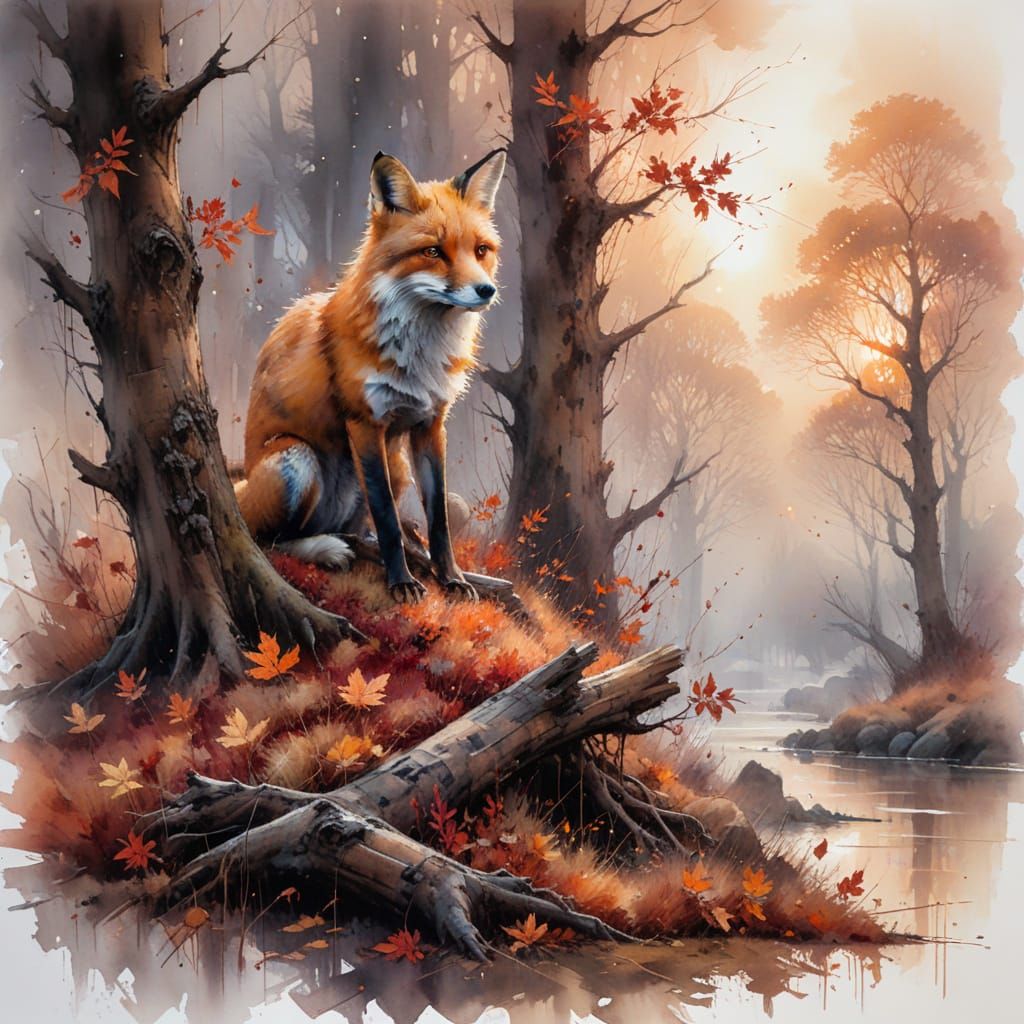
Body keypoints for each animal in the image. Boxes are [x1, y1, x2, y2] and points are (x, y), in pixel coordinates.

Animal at [234, 148, 506, 604]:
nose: (486, 291)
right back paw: (325, 550)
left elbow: (437, 521)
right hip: (296, 458)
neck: (419, 356)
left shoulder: (431, 423)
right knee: (269, 540)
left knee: (354, 531)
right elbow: (388, 518)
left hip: (395, 466)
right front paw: (402, 583)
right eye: (433, 251)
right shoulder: (364, 422)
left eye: (481, 250)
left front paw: (450, 578)